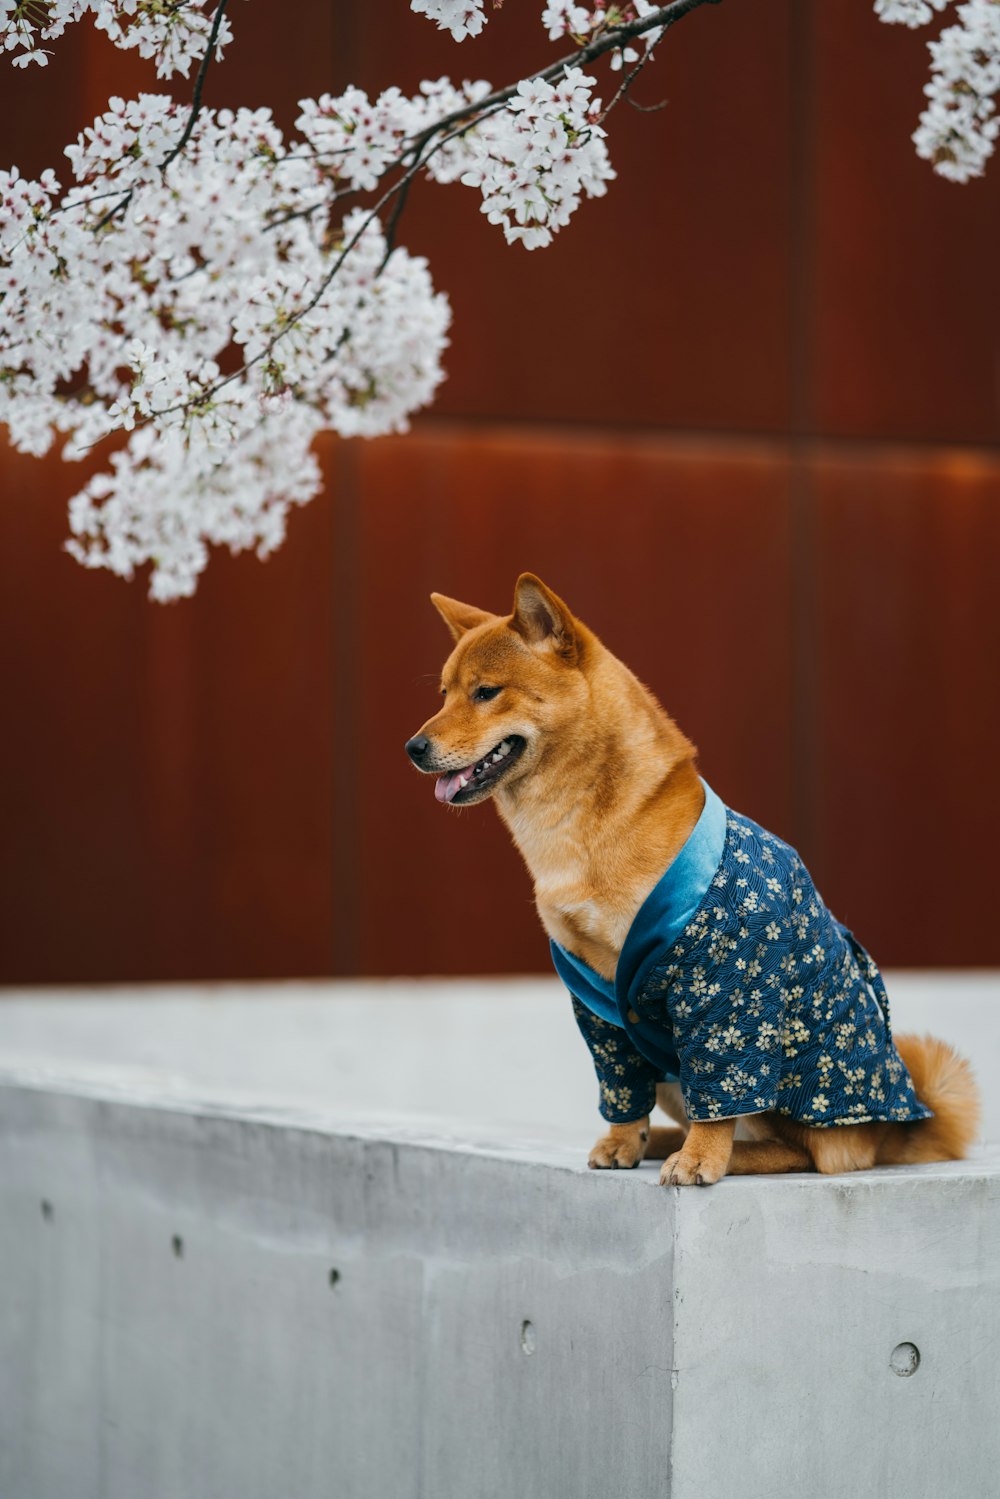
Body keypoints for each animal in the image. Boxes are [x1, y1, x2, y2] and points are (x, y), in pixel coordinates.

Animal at [404, 572, 977, 1181]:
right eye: (444, 694)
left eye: (486, 692)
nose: (413, 747)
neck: (576, 832)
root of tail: (890, 1131)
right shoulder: (598, 998)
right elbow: (622, 1091)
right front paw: (624, 1141)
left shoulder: (726, 984)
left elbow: (723, 1096)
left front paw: (702, 1158)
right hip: (665, 1059)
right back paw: (659, 1140)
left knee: (803, 1152)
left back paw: (720, 1155)